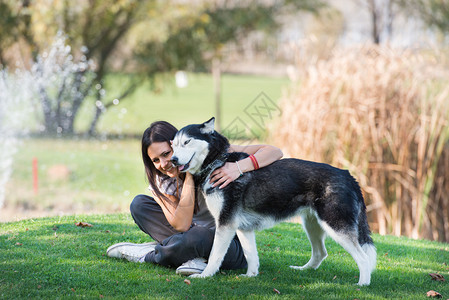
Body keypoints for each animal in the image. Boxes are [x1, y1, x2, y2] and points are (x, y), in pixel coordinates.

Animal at [171, 118, 374, 286]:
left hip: (335, 226)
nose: (173, 159)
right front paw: (251, 276)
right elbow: (251, 255)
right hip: (312, 225)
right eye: (173, 146)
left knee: (364, 258)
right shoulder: (242, 227)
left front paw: (205, 275)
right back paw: (303, 270)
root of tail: (348, 175)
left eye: (187, 142)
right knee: (321, 253)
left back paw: (362, 285)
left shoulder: (226, 224)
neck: (217, 162)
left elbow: (215, 255)